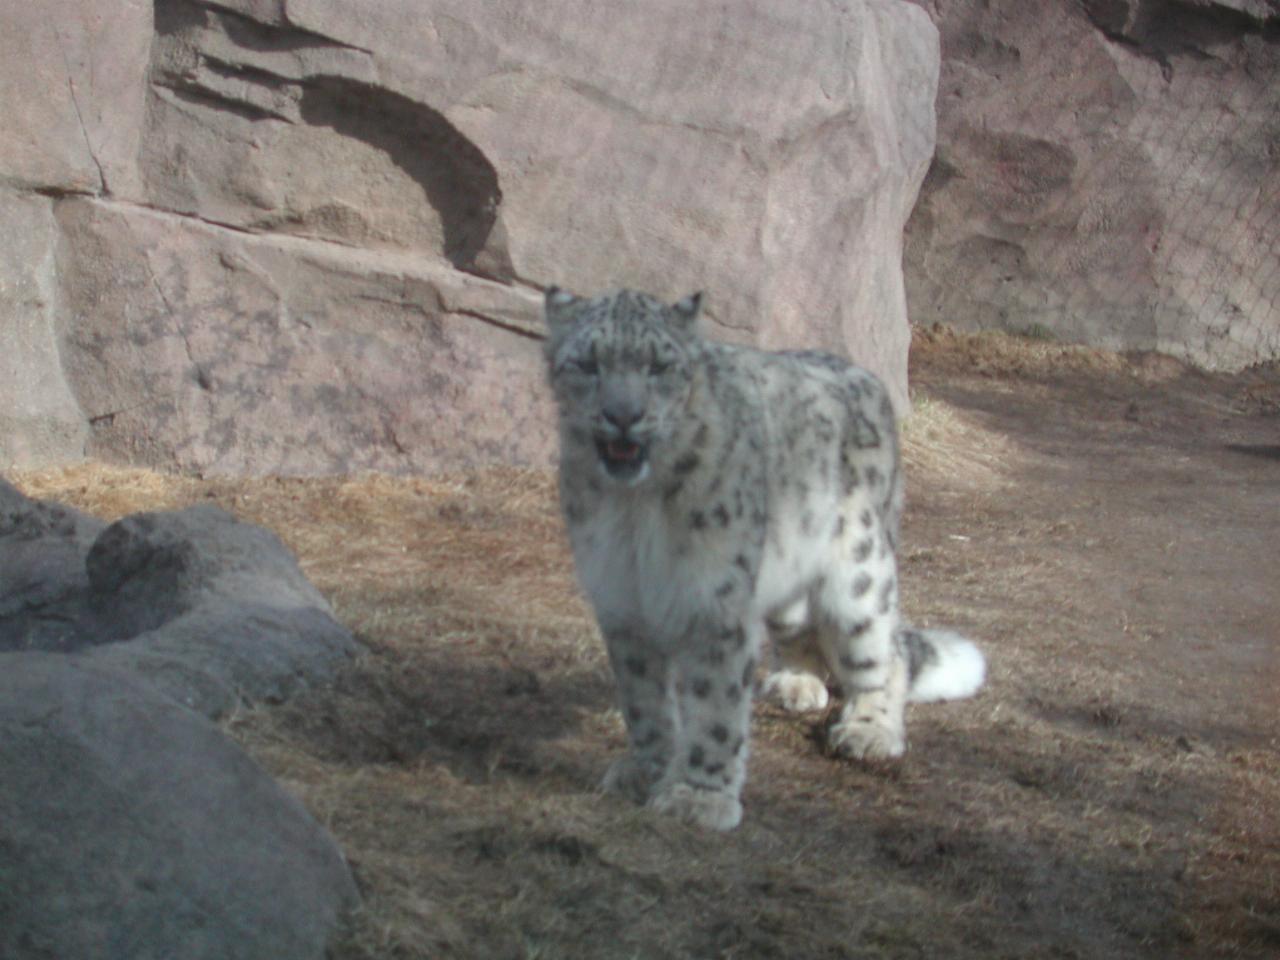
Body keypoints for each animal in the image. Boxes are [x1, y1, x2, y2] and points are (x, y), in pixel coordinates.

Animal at [545, 288, 983, 834]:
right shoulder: (622, 598)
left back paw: (868, 730)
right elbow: (643, 699)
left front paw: (699, 796)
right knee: (802, 630)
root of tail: (868, 380)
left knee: (886, 653)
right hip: (786, 569)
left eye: (659, 365)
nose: (623, 415)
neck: (633, 509)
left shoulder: (715, 599)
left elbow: (714, 707)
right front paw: (646, 770)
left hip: (861, 571)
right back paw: (796, 683)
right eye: (588, 363)